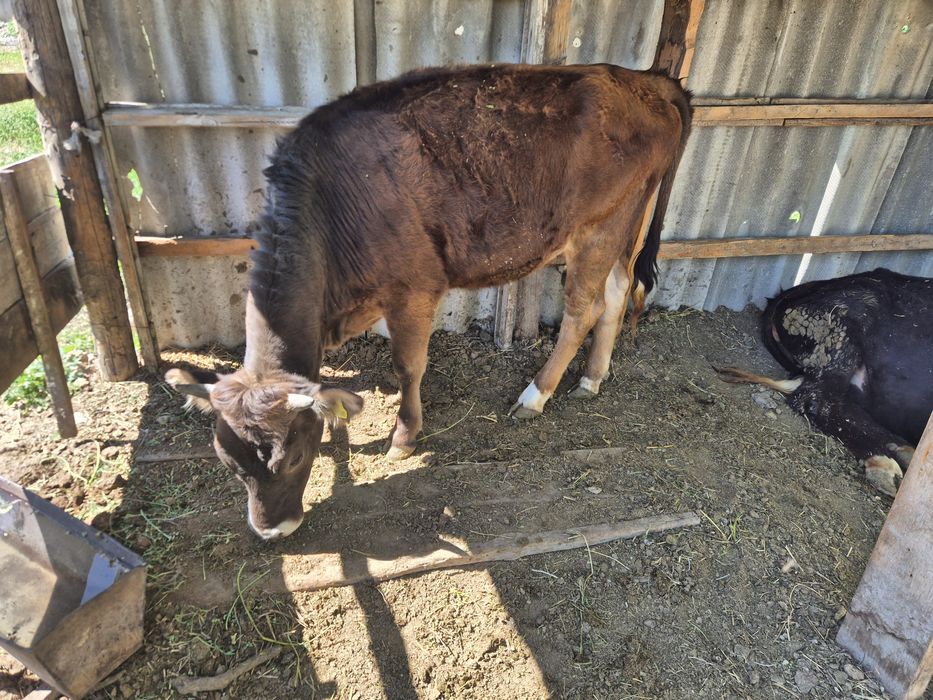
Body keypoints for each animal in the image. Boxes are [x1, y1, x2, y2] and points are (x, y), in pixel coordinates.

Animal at [166, 63, 693, 539]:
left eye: (294, 456)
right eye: (228, 462)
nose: (270, 530)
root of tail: (643, 78)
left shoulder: (413, 290)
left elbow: (407, 366)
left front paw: (403, 437)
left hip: (598, 227)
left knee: (583, 309)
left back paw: (535, 395)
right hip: (626, 221)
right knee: (618, 292)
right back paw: (592, 377)